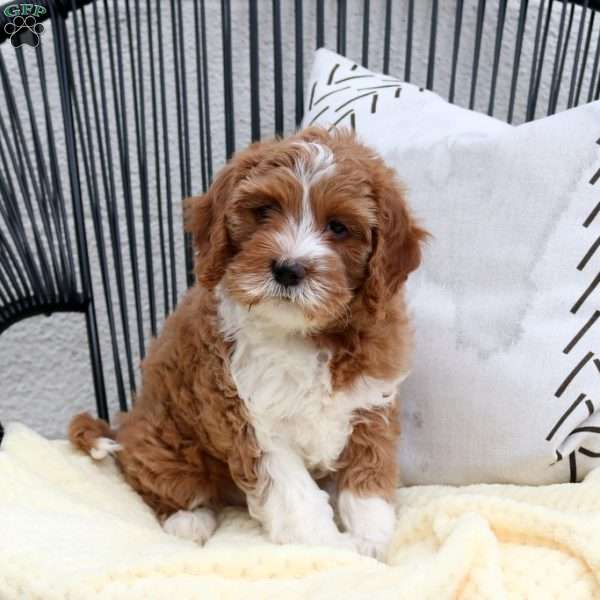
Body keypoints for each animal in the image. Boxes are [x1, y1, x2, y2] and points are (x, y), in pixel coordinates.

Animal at [69, 126, 426, 564]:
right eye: (265, 211)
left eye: (339, 227)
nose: (288, 269)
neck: (303, 334)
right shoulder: (251, 420)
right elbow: (298, 500)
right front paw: (334, 550)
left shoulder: (369, 403)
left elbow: (367, 484)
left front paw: (373, 541)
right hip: (162, 439)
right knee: (161, 482)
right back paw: (189, 520)